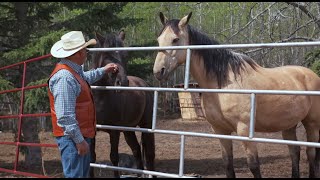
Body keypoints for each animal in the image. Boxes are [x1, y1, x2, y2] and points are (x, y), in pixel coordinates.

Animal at [89, 30, 156, 178]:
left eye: (125, 55)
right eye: (107, 56)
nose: (123, 82)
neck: (100, 98)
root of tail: (143, 83)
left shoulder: (114, 132)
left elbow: (114, 158)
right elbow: (91, 158)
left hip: (146, 125)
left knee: (150, 155)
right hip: (128, 130)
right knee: (137, 151)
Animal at [152, 11, 320, 178]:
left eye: (175, 39)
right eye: (159, 39)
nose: (158, 71)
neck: (222, 84)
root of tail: (311, 75)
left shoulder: (244, 130)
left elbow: (253, 165)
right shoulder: (220, 130)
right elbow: (227, 164)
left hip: (311, 123)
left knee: (310, 153)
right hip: (289, 124)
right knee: (295, 151)